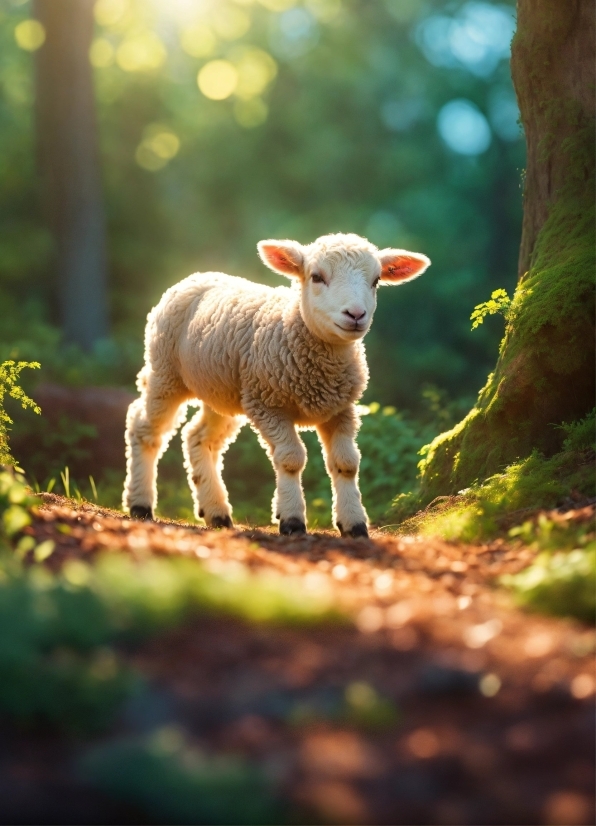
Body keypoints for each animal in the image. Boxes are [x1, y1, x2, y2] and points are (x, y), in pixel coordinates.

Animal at [123, 235, 428, 536]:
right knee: (145, 429)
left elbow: (347, 463)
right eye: (316, 277)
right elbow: (291, 458)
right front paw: (292, 520)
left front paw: (354, 523)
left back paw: (216, 512)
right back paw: (140, 504)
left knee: (198, 437)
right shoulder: (268, 405)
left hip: (223, 390)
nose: (355, 314)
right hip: (166, 372)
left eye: (376, 281)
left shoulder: (341, 409)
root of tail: (196, 276)